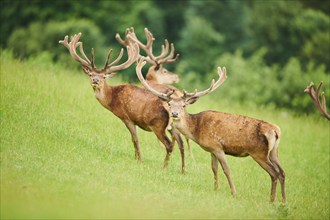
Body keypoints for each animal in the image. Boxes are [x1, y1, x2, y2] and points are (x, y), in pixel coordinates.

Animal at [59, 33, 187, 174]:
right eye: (91, 74)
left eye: (104, 76)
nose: (95, 80)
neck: (113, 98)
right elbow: (134, 139)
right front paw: (137, 158)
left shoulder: (127, 117)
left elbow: (135, 139)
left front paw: (139, 160)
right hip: (173, 125)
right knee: (181, 143)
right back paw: (183, 170)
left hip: (157, 125)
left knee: (170, 144)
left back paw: (164, 167)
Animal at [137, 58, 286, 203]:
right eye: (169, 103)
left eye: (184, 105)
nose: (174, 114)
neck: (196, 129)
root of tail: (275, 131)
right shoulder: (211, 149)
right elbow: (214, 168)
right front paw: (216, 189)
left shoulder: (217, 147)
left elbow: (226, 169)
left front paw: (234, 193)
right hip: (274, 152)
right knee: (282, 172)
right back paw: (283, 201)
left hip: (259, 152)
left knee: (274, 173)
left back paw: (272, 199)